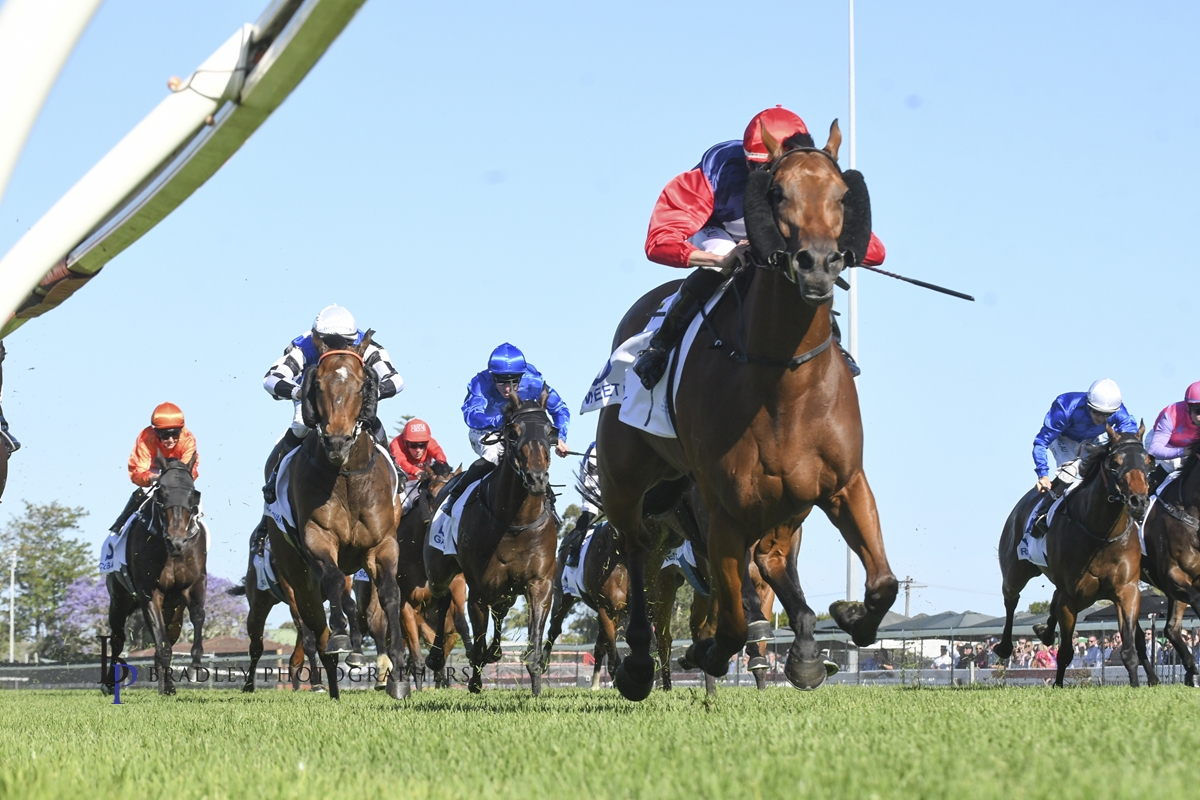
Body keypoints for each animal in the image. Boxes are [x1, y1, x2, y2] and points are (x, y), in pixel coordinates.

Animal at [104, 456, 206, 695]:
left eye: (193, 495)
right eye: (162, 495)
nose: (176, 541)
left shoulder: (195, 585)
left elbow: (198, 617)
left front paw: (194, 668)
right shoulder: (150, 592)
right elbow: (162, 644)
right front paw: (168, 685)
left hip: (173, 610)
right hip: (120, 600)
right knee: (117, 638)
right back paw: (110, 684)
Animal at [265, 329, 410, 700]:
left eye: (361, 386)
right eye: (317, 385)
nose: (337, 442)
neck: (345, 477)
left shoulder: (382, 545)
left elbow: (390, 596)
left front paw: (399, 673)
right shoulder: (318, 537)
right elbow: (332, 586)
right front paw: (343, 638)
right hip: (293, 573)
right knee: (312, 625)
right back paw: (327, 680)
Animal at [425, 391, 559, 695]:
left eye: (550, 431)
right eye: (513, 432)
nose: (536, 479)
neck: (515, 523)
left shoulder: (540, 584)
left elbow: (532, 647)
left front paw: (536, 691)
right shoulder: (478, 590)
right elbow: (477, 640)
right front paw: (475, 682)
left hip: (506, 589)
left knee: (498, 613)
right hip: (438, 570)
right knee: (443, 597)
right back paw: (437, 657)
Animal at [596, 120, 896, 700]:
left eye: (842, 195)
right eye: (776, 192)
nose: (817, 264)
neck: (784, 382)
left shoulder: (844, 484)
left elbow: (883, 585)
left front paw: (846, 618)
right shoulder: (722, 511)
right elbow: (734, 621)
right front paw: (710, 653)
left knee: (772, 561)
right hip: (625, 481)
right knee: (636, 550)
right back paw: (639, 663)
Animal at [994, 425, 1155, 687]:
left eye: (1149, 461)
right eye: (1114, 463)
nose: (1139, 501)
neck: (1101, 535)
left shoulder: (1127, 590)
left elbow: (1130, 647)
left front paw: (1135, 684)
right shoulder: (1071, 597)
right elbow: (1066, 651)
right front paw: (1058, 685)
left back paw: (1044, 632)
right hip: (1015, 570)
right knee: (1011, 598)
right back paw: (1005, 646)